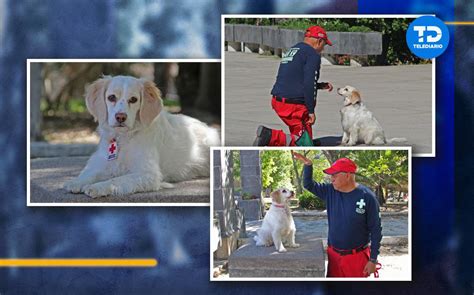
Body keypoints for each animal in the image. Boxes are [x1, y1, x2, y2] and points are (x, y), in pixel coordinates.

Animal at [64, 75, 221, 199]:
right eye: (111, 97)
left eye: (133, 99)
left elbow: (117, 180)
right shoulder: (103, 163)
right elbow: (90, 174)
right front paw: (77, 182)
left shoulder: (148, 174)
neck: (123, 138)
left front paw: (98, 187)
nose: (120, 117)